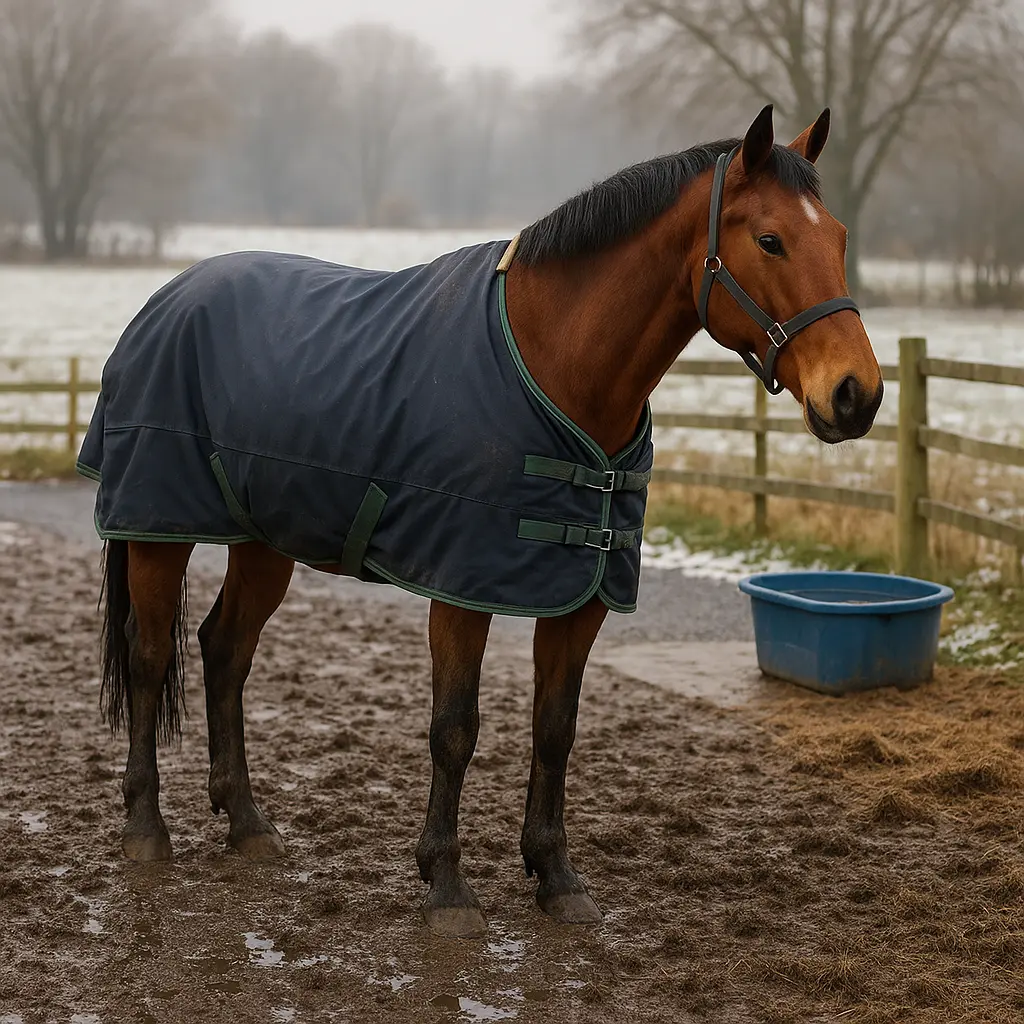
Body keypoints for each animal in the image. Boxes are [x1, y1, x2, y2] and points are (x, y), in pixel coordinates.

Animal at [80, 104, 882, 939]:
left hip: (264, 542)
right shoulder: (461, 587)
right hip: (157, 529)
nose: (857, 394)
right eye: (770, 239)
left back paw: (246, 822)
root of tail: (167, 299)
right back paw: (146, 830)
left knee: (224, 651)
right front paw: (446, 885)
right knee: (148, 657)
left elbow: (556, 729)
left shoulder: (581, 597)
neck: (555, 364)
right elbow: (455, 729)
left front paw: (556, 877)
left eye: (839, 239)